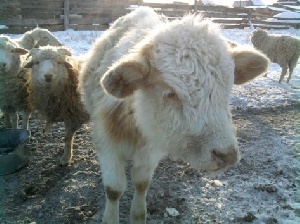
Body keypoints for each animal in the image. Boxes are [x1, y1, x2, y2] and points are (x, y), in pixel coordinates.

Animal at [79, 7, 270, 224]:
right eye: (171, 94)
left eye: (228, 87)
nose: (226, 156)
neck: (135, 123)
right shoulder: (108, 145)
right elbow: (113, 190)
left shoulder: (151, 149)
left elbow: (141, 183)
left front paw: (138, 214)